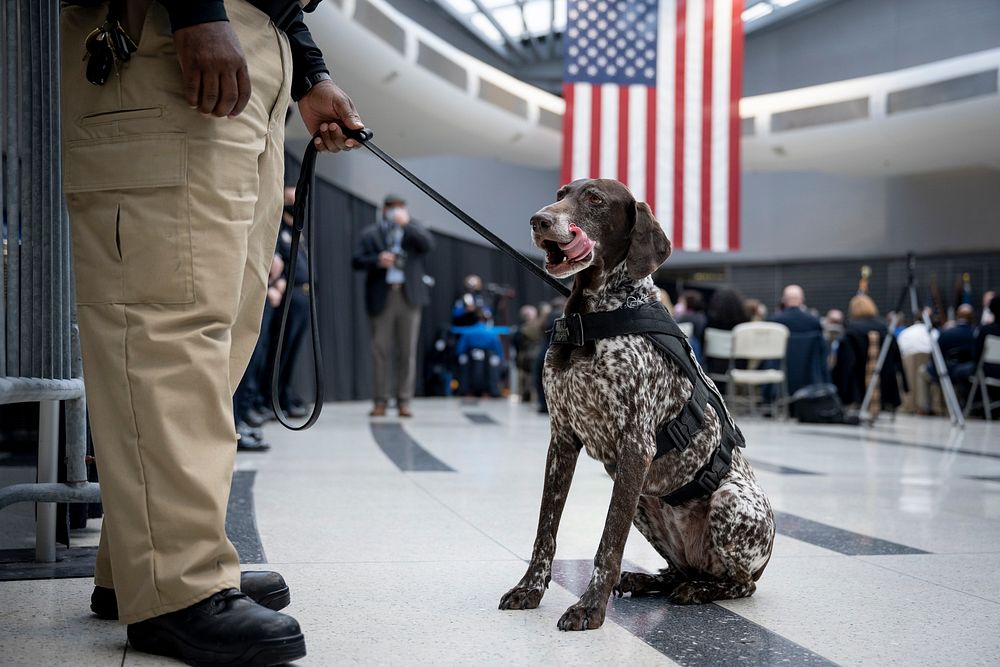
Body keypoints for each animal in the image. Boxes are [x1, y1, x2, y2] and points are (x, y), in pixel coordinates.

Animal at [498, 179, 772, 632]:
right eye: (561, 193)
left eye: (594, 199)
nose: (539, 220)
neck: (592, 317)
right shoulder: (562, 441)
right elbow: (546, 530)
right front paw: (530, 589)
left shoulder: (636, 447)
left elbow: (609, 541)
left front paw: (589, 608)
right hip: (645, 501)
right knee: (679, 569)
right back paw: (647, 580)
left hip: (727, 501)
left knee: (741, 583)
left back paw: (700, 590)